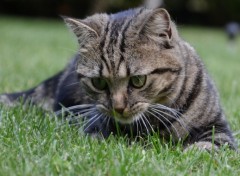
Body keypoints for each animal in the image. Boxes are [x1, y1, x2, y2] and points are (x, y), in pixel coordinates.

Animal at [0, 6, 236, 150]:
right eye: (99, 82)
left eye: (138, 80)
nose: (118, 107)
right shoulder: (95, 129)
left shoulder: (218, 127)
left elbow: (211, 146)